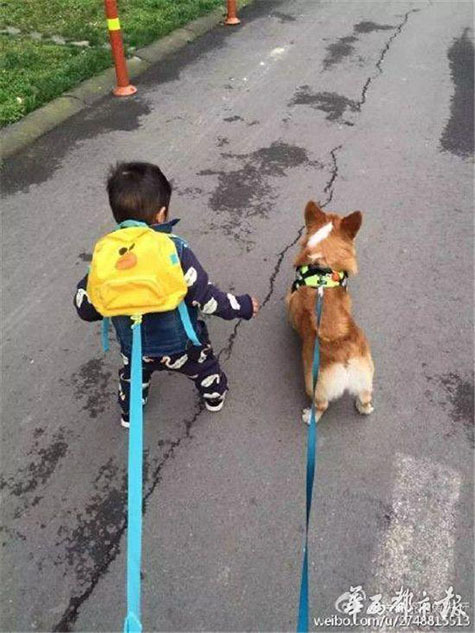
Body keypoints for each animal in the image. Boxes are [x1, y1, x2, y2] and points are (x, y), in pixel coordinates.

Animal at [286, 200, 374, 424]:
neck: (322, 265)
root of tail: (346, 355)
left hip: (313, 382)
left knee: (321, 405)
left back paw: (309, 416)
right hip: (366, 376)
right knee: (365, 398)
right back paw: (365, 408)